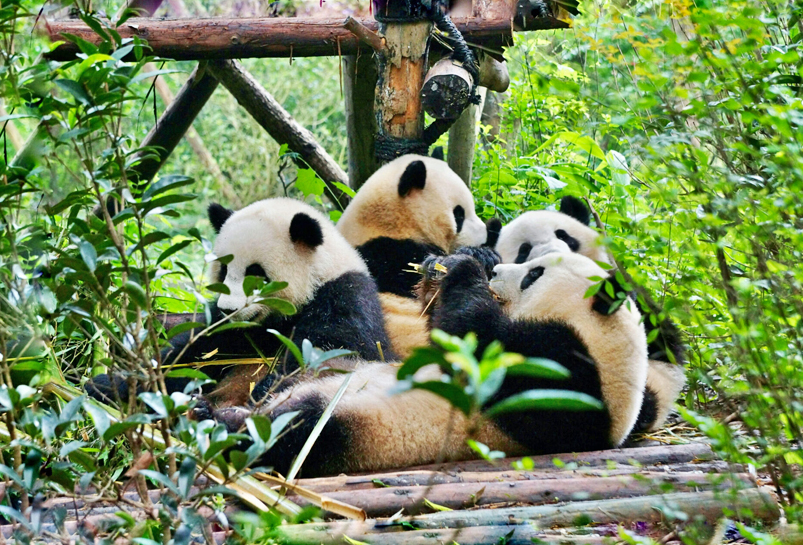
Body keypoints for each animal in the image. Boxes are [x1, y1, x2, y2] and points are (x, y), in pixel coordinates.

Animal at [87, 198, 393, 407]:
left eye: (255, 274)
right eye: (223, 271)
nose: (228, 310)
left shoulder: (343, 298)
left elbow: (329, 353)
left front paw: (260, 394)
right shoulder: (226, 332)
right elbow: (191, 353)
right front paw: (110, 385)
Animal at [210, 251, 648, 477]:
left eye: (534, 274)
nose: (496, 270)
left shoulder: (571, 382)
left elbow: (483, 348)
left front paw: (463, 271)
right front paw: (449, 263)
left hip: (353, 428)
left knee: (297, 431)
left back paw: (226, 422)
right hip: (328, 373)